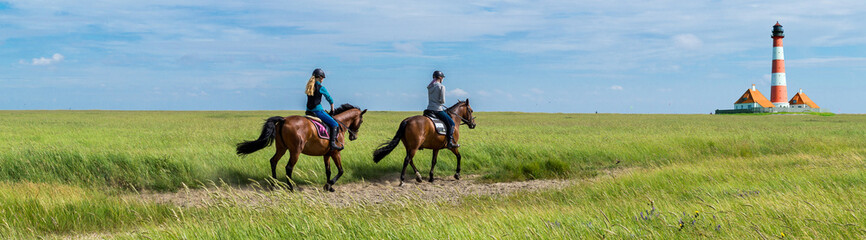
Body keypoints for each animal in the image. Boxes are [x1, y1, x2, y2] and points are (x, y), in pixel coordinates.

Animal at [235, 104, 366, 192]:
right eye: (361, 121)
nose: (354, 136)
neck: (339, 125)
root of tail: (284, 119)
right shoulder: (335, 153)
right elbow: (340, 170)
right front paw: (329, 185)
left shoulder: (327, 154)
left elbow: (328, 171)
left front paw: (329, 186)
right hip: (295, 151)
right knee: (288, 167)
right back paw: (291, 187)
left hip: (281, 148)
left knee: (273, 161)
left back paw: (274, 184)